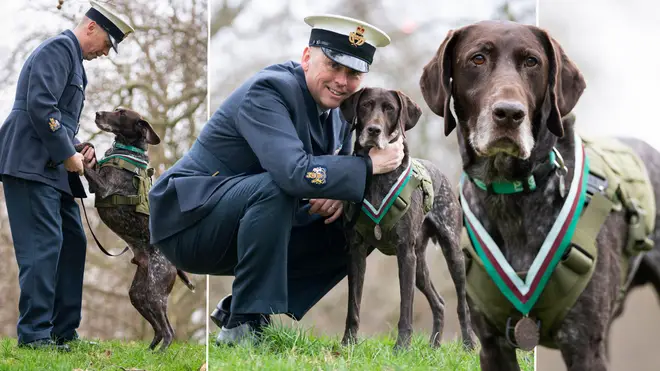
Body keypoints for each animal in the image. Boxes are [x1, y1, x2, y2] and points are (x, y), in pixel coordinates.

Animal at [74, 109, 195, 354]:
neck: (126, 150)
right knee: (158, 329)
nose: (98, 113)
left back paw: (160, 355)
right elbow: (91, 153)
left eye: (121, 114)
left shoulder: (104, 187)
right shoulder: (95, 185)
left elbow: (87, 166)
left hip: (155, 294)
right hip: (138, 294)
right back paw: (148, 353)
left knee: (168, 331)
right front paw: (82, 145)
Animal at [340, 86, 474, 352]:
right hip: (419, 263)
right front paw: (348, 343)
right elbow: (354, 305)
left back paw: (468, 345)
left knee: (461, 304)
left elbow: (405, 307)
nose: (374, 130)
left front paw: (402, 347)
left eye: (390, 109)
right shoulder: (356, 251)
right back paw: (434, 346)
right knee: (439, 302)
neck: (378, 176)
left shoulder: (404, 252)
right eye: (366, 105)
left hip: (451, 252)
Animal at [420, 21, 660, 371]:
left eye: (532, 62)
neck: (510, 193)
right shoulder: (492, 346)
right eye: (477, 59)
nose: (509, 113)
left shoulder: (583, 346)